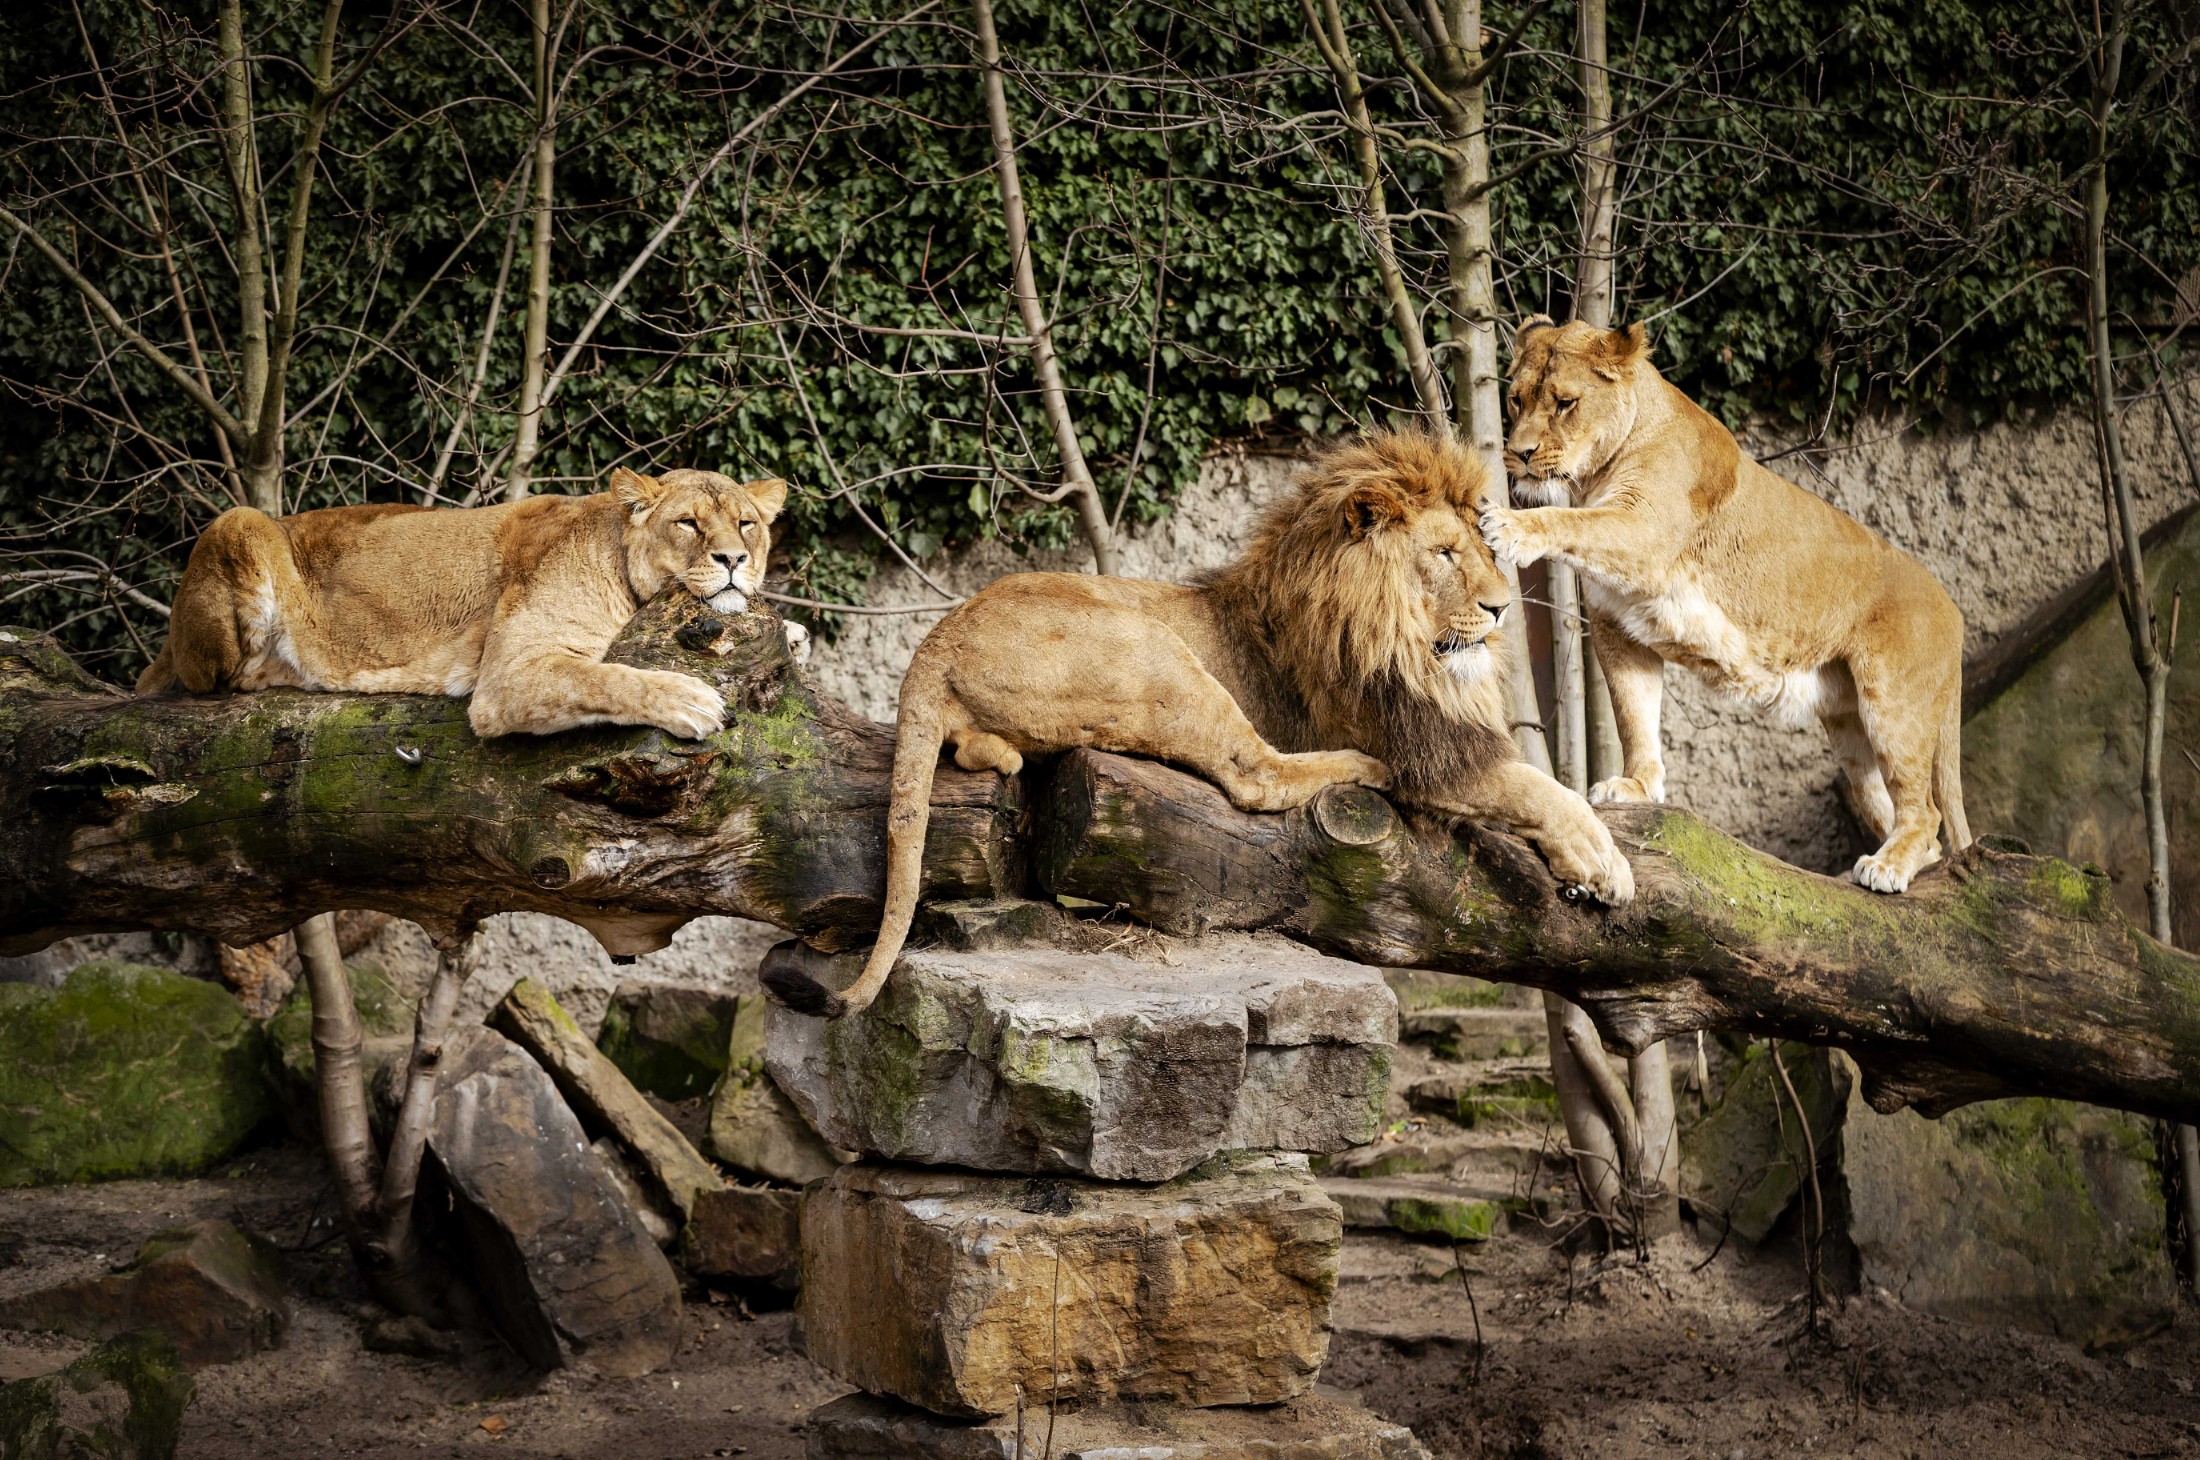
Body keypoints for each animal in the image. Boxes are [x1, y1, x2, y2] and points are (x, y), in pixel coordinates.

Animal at [135, 468, 800, 743]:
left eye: (746, 524)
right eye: (689, 523)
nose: (733, 560)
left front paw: (793, 633)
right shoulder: (509, 675)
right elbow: (606, 677)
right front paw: (691, 701)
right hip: (241, 521)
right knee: (212, 680)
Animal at [827, 428, 1636, 1020]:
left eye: (1483, 552)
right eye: (1443, 553)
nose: (1502, 609)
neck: (1398, 640)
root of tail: (935, 640)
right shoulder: (1421, 750)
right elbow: (1538, 789)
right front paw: (1605, 865)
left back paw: (994, 755)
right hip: (1156, 649)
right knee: (1256, 776)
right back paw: (1358, 770)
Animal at [1487, 318, 1971, 888]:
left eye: (1565, 403)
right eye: (1515, 400)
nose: (1518, 453)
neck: (1592, 478)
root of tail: (1954, 610)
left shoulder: (1645, 530)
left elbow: (1571, 524)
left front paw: (1508, 526)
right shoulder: (1619, 627)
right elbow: (1634, 715)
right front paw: (1638, 788)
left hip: (1893, 704)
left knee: (1927, 812)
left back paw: (1888, 867)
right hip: (1853, 734)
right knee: (1918, 828)